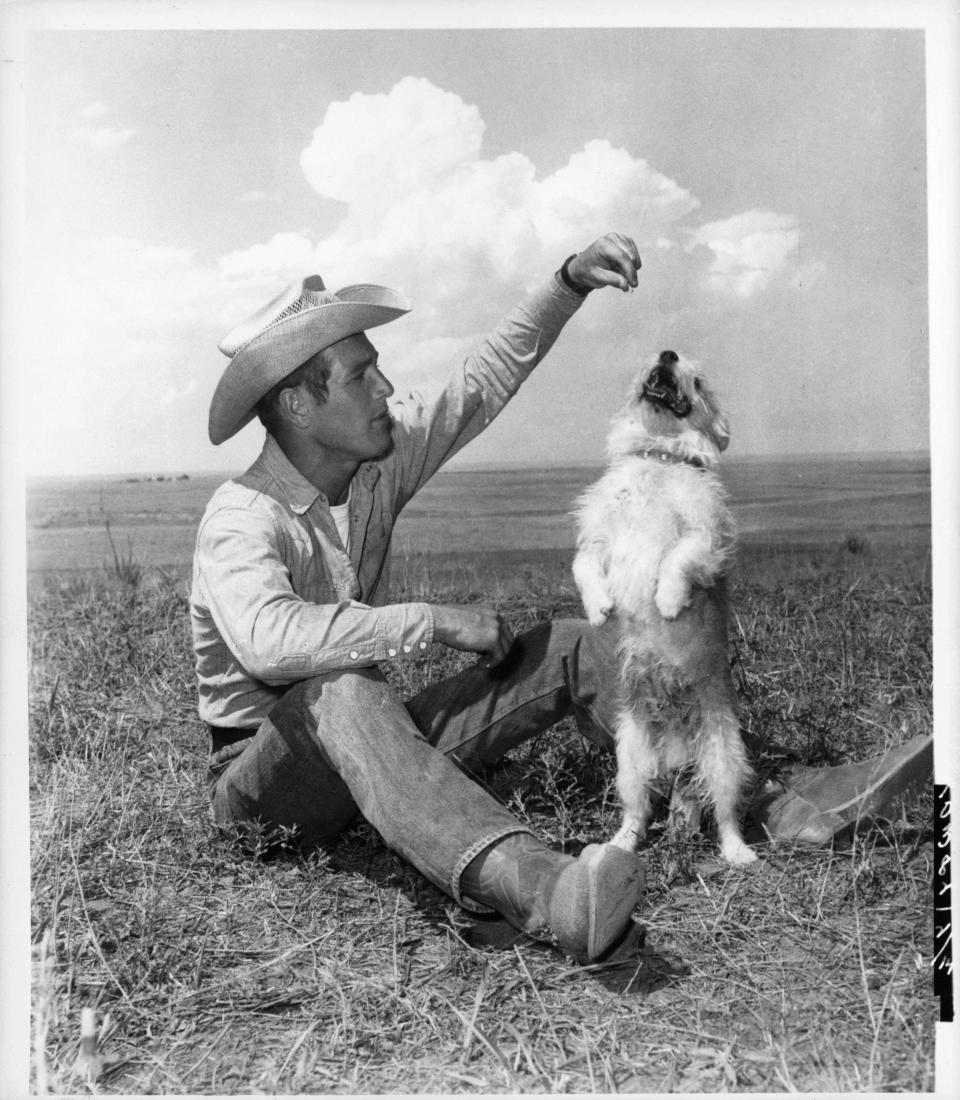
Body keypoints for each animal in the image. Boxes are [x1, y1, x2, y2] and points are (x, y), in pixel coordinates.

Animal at [576, 352, 756, 866]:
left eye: (698, 380)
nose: (668, 353)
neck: (658, 457)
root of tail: (677, 752)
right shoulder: (597, 540)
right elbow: (585, 567)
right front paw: (599, 608)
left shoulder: (705, 539)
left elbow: (678, 559)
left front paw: (669, 601)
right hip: (630, 761)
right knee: (636, 812)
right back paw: (619, 845)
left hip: (725, 757)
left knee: (726, 814)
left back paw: (739, 854)